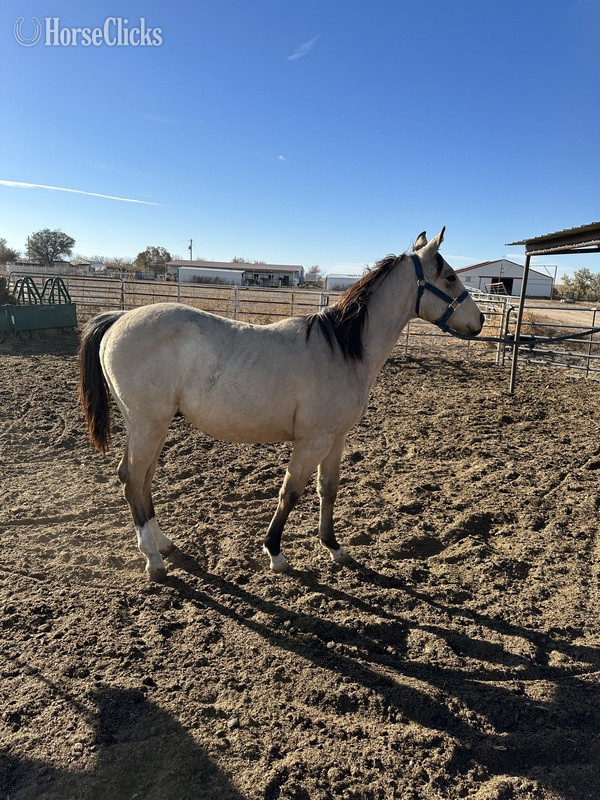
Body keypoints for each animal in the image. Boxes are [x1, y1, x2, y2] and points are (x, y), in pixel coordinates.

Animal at [78, 228, 484, 581]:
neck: (342, 350)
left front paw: (333, 547)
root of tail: (119, 318)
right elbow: (291, 492)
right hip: (148, 425)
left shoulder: (336, 439)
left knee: (141, 479)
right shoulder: (312, 440)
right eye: (450, 277)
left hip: (153, 427)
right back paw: (153, 559)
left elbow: (328, 489)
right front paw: (275, 551)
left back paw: (162, 543)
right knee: (132, 481)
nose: (480, 321)